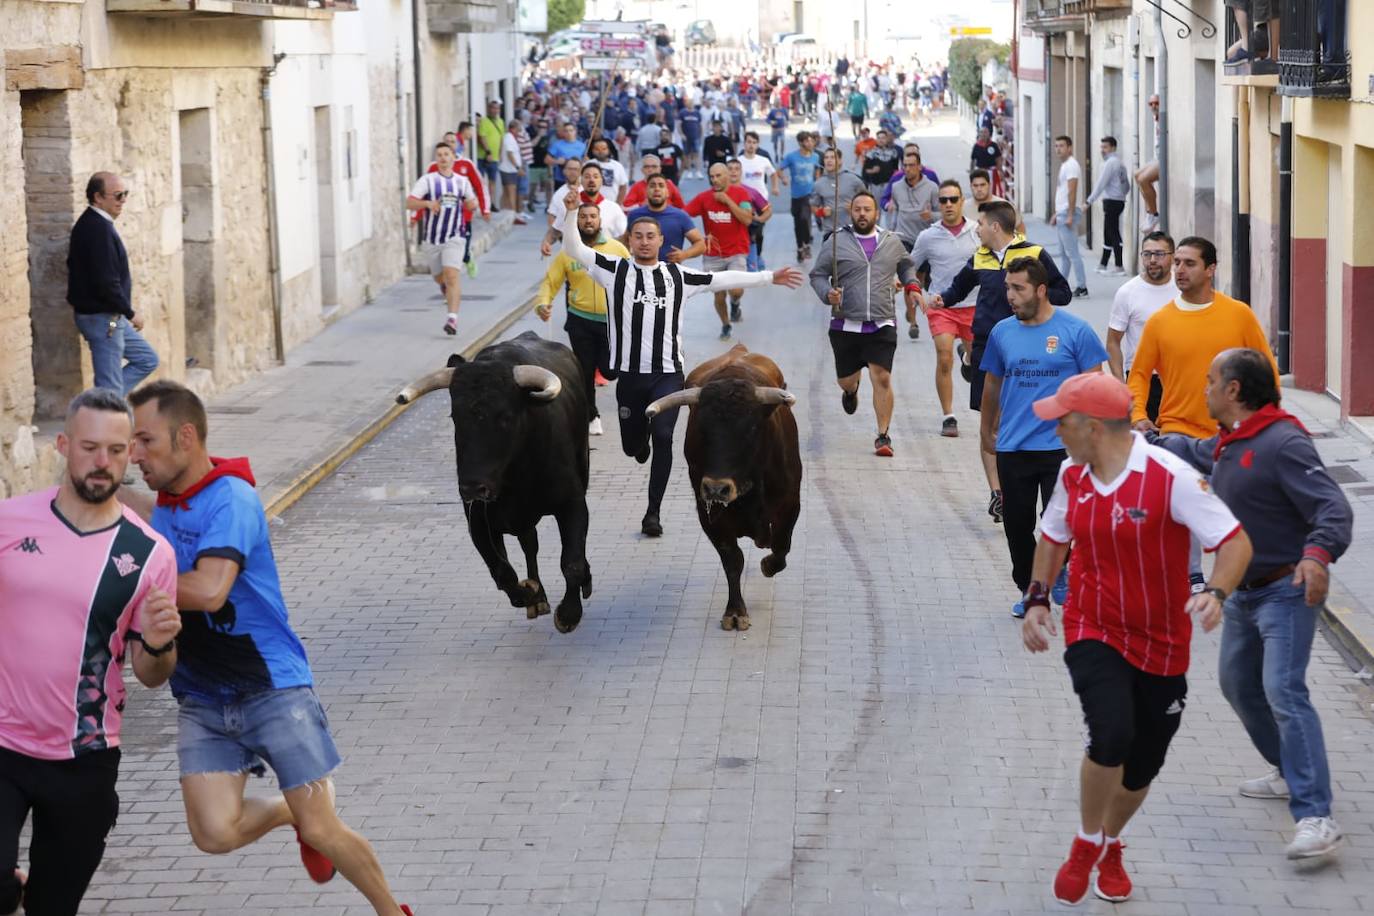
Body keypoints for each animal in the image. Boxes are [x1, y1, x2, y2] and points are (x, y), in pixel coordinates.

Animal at [395, 333, 593, 634]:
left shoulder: (572, 503)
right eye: (455, 416)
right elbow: (502, 571)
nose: (472, 487)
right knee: (529, 543)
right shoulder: (477, 518)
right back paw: (538, 598)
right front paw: (529, 594)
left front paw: (569, 613)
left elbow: (572, 560)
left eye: (505, 417)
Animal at [645, 343, 802, 631]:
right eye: (701, 430)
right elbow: (733, 560)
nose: (717, 488)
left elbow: (781, 547)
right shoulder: (708, 513)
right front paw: (736, 611)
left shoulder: (790, 504)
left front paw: (767, 565)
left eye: (751, 429)